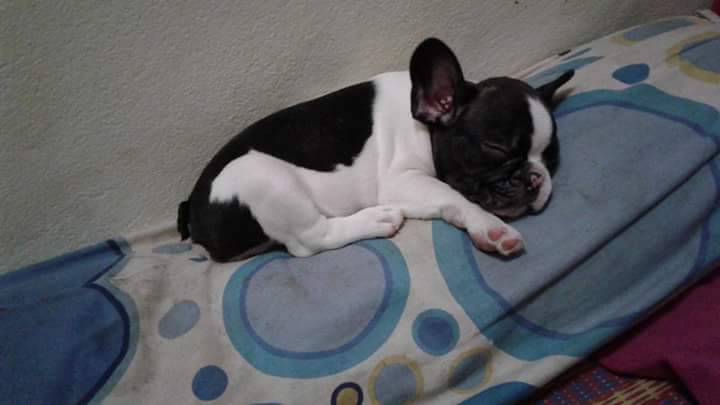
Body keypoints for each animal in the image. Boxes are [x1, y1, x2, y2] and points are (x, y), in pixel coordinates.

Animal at [177, 38, 573, 262]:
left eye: (551, 157)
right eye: (495, 147)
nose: (535, 179)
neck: (423, 126)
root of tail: (194, 213)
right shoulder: (402, 180)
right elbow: (456, 198)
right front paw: (490, 228)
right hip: (263, 177)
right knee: (311, 240)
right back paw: (377, 219)